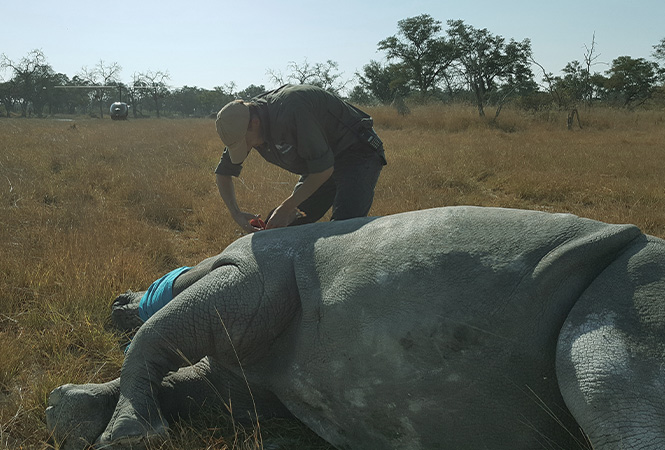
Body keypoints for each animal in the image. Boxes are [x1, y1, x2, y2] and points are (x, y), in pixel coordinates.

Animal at [45, 207, 664, 450]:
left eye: (142, 287)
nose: (116, 301)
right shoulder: (250, 381)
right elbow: (190, 380)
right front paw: (65, 409)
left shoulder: (249, 272)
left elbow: (160, 330)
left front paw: (125, 436)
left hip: (630, 286)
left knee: (601, 373)